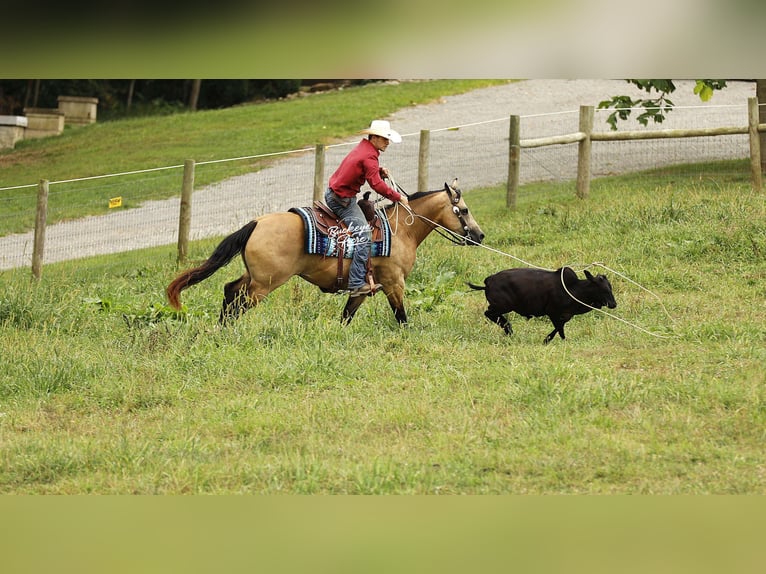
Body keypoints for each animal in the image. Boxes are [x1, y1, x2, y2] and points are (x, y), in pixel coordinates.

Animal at [166, 181, 485, 325]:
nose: (480, 235)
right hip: (264, 284)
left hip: (254, 277)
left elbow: (346, 316)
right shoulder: (394, 283)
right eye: (464, 209)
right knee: (238, 302)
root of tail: (257, 222)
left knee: (230, 290)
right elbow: (401, 316)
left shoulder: (363, 288)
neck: (399, 231)